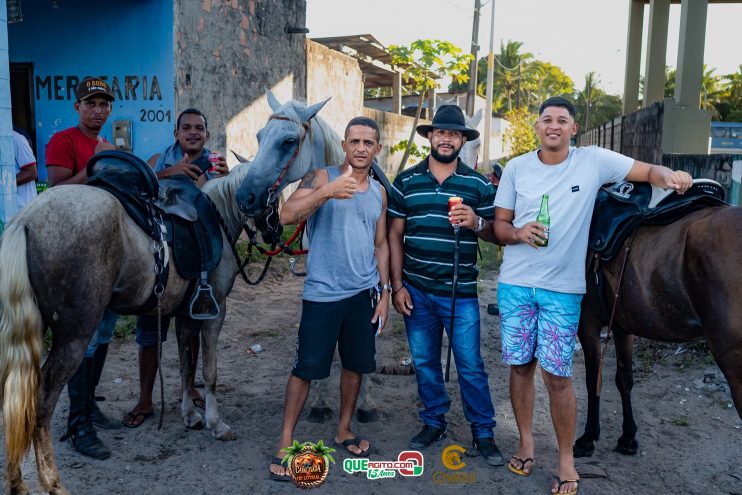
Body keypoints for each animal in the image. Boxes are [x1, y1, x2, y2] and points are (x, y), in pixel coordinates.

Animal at [576, 205, 742, 458]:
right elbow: (624, 379)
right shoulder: (623, 326)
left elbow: (593, 379)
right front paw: (628, 438)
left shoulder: (587, 324)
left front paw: (588, 438)